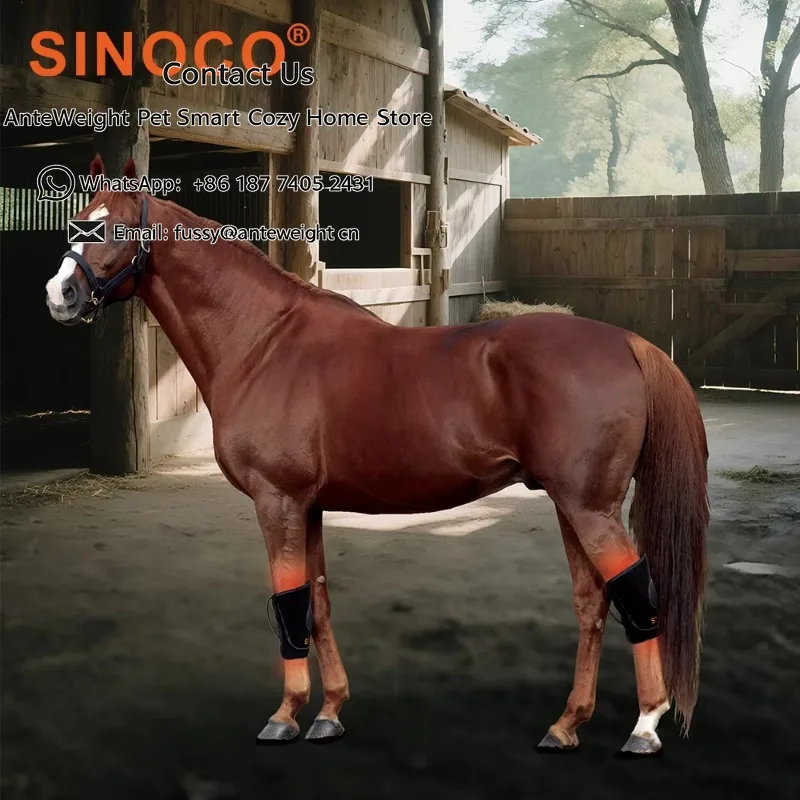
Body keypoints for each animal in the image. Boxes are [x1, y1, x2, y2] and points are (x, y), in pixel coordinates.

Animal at [46, 155, 709, 756]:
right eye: (76, 223)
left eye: (108, 229)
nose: (59, 294)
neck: (263, 342)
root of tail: (628, 341)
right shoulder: (307, 507)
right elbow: (314, 603)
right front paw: (329, 712)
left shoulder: (277, 502)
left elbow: (288, 604)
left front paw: (284, 716)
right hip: (574, 506)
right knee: (594, 600)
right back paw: (567, 724)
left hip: (589, 507)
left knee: (637, 594)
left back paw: (645, 725)